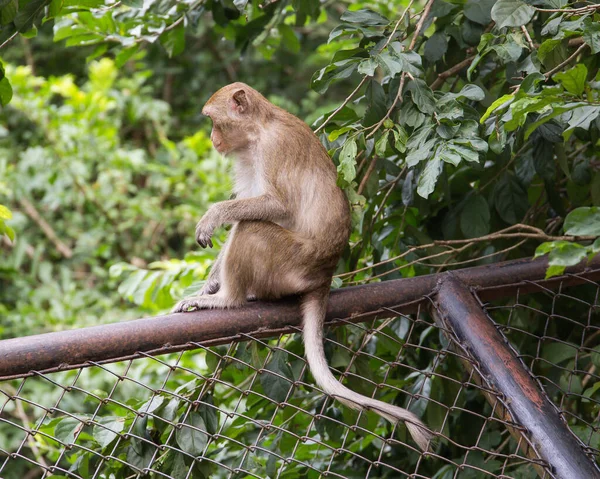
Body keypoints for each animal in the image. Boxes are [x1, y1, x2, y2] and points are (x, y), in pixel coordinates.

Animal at [171, 81, 434, 450]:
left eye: (213, 121)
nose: (212, 139)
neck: (258, 130)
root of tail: (322, 277)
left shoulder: (274, 148)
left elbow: (274, 206)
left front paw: (214, 216)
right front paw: (208, 283)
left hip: (288, 266)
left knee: (252, 228)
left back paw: (226, 299)